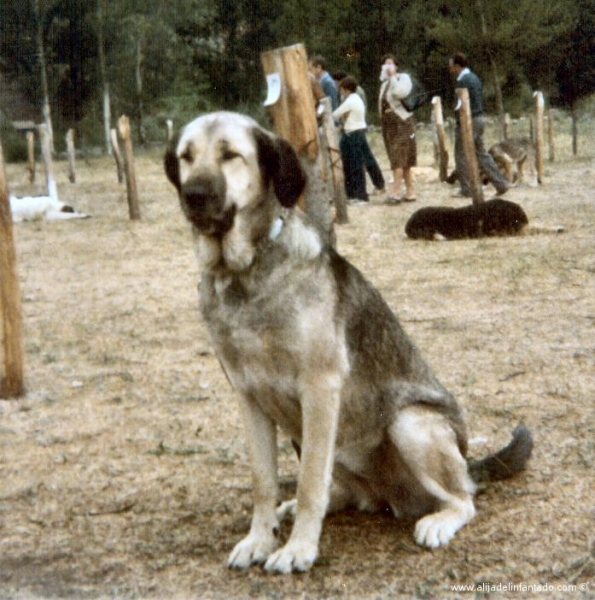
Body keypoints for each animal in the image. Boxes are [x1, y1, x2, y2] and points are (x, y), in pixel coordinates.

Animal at [164, 113, 536, 576]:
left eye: (231, 155)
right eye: (186, 157)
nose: (193, 196)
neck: (245, 274)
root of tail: (389, 498)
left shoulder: (319, 390)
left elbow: (310, 483)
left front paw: (298, 549)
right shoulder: (249, 397)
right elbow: (263, 481)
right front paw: (259, 539)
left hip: (409, 424)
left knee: (463, 498)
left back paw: (439, 520)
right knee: (341, 492)